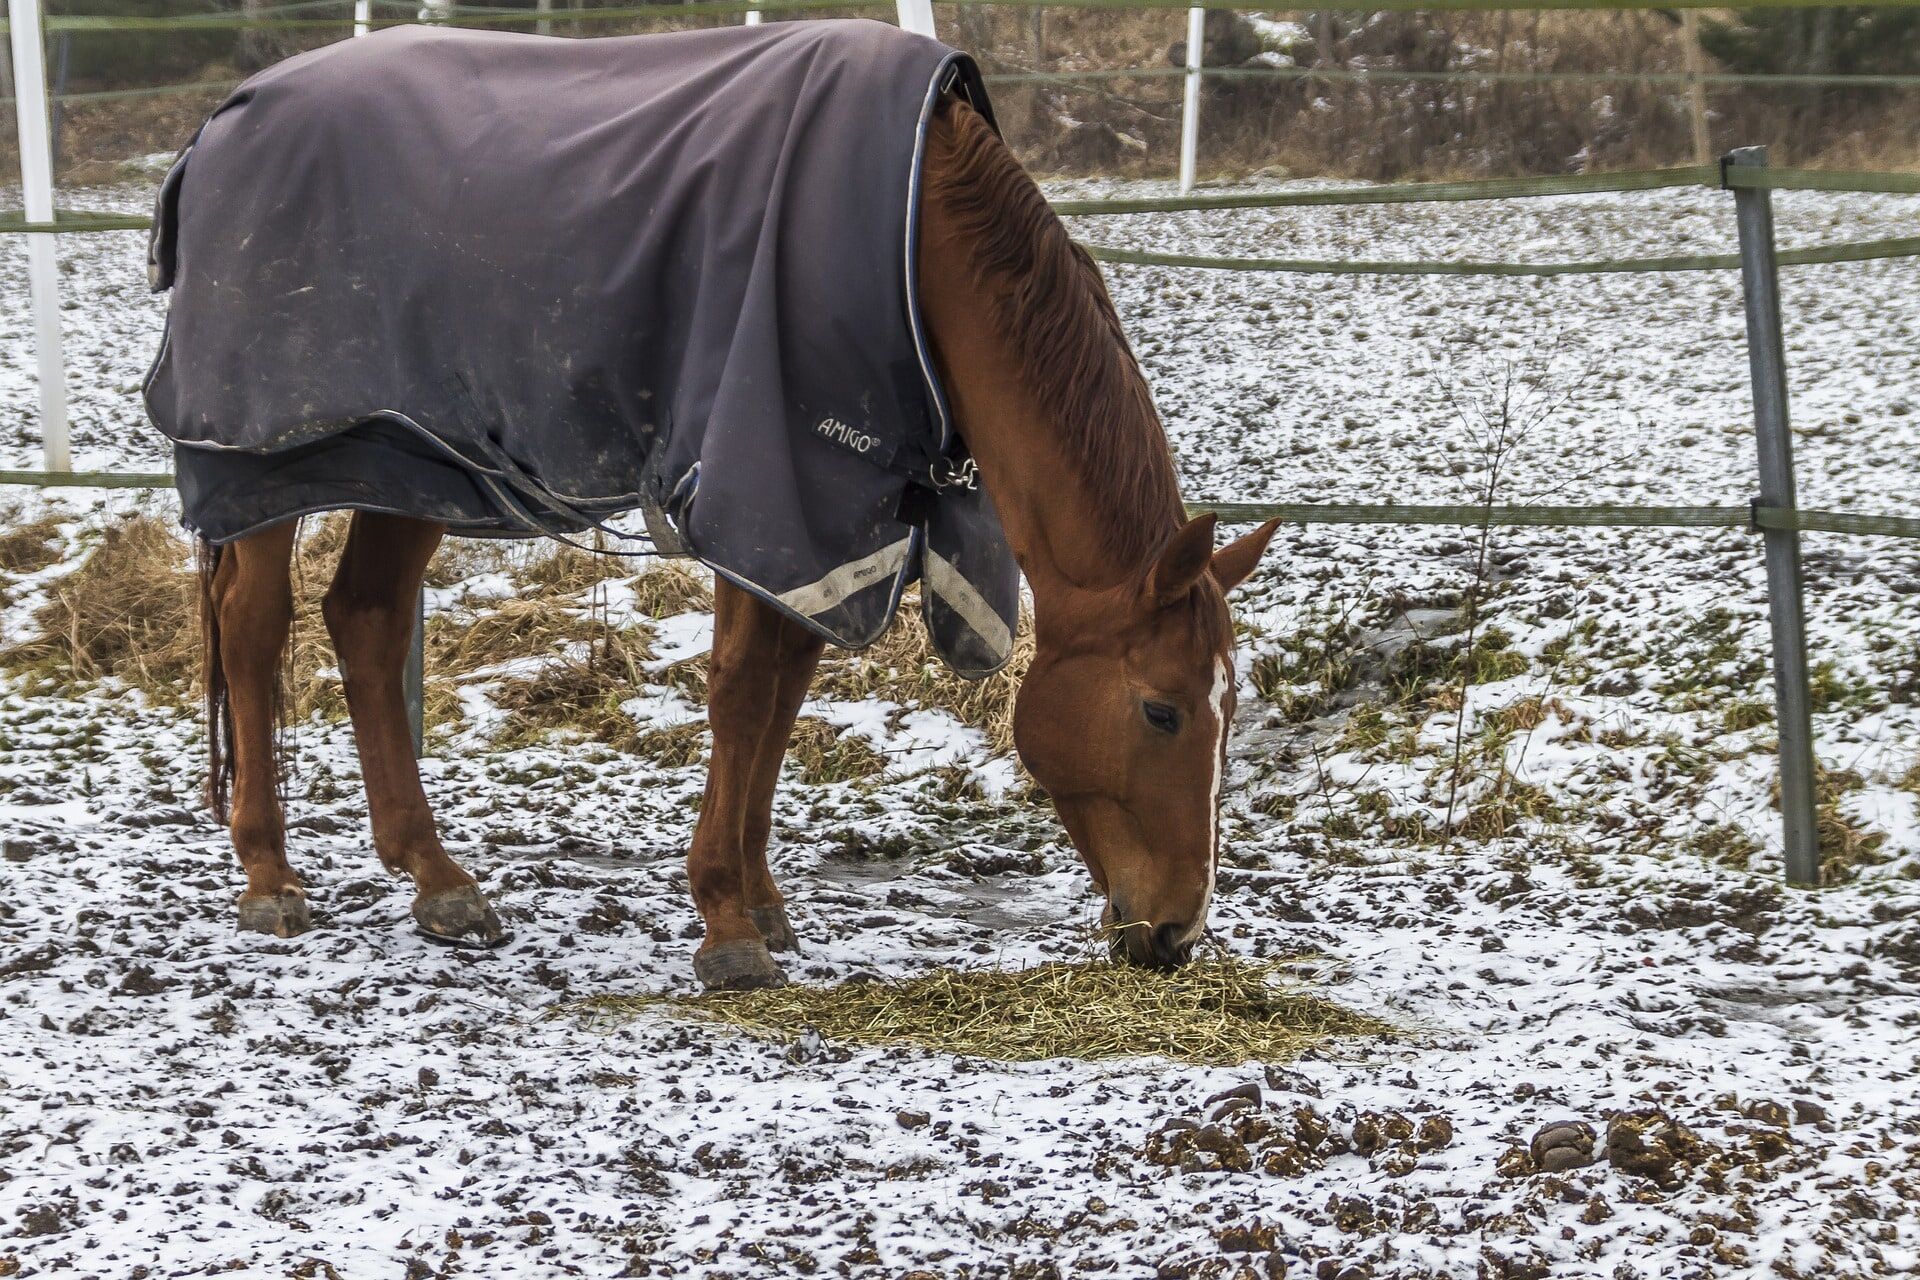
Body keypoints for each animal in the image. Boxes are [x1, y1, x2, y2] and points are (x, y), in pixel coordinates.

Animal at [187, 35, 1282, 990]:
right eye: (1162, 709)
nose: (1177, 931)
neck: (916, 233)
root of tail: (226, 119)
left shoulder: (836, 527)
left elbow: (786, 690)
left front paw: (761, 900)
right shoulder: (763, 494)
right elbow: (745, 693)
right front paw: (726, 922)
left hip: (413, 457)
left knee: (365, 620)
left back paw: (436, 879)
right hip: (274, 462)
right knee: (252, 626)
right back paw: (268, 874)